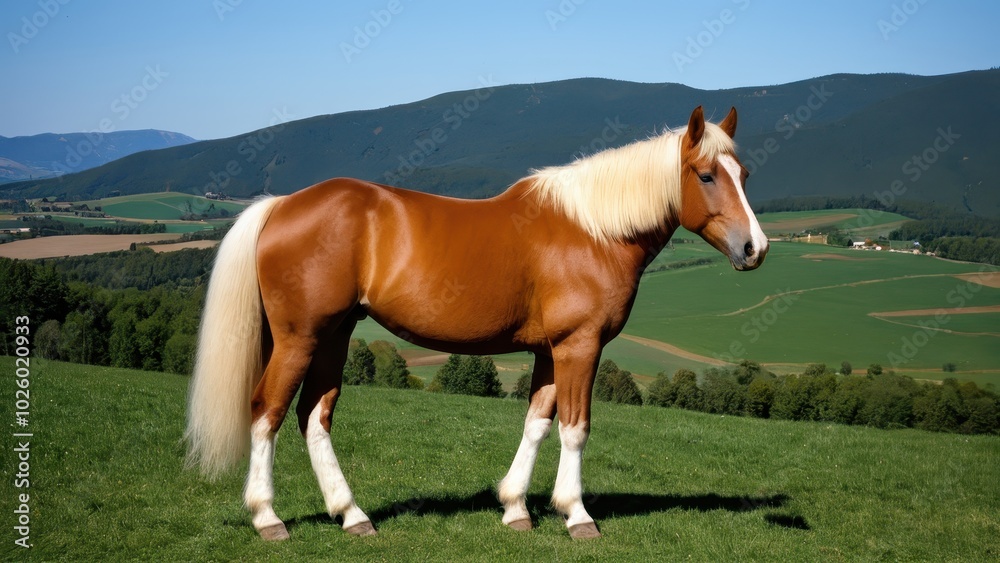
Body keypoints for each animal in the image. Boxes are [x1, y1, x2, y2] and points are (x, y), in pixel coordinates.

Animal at [184, 106, 768, 540]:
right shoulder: (579, 346)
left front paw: (515, 508)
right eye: (707, 175)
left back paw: (352, 515)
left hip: (335, 336)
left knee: (314, 415)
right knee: (267, 411)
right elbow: (574, 427)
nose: (755, 248)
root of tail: (281, 205)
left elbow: (536, 423)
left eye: (744, 175)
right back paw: (268, 517)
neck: (594, 229)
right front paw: (576, 514)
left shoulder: (547, 351)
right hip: (299, 339)